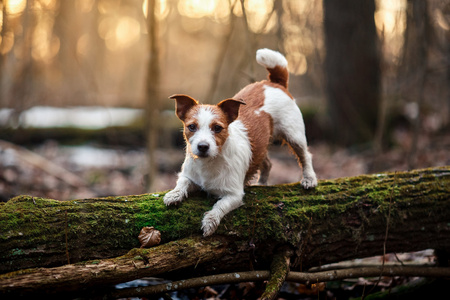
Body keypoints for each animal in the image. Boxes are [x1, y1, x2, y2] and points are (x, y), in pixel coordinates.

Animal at [164, 48, 316, 237]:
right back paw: (262, 183)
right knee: (267, 163)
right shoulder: (189, 176)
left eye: (217, 128)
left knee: (305, 155)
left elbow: (219, 206)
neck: (210, 163)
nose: (203, 146)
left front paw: (210, 222)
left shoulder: (234, 195)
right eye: (191, 126)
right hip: (261, 146)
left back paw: (309, 179)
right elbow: (182, 183)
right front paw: (174, 195)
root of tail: (274, 83)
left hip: (294, 134)